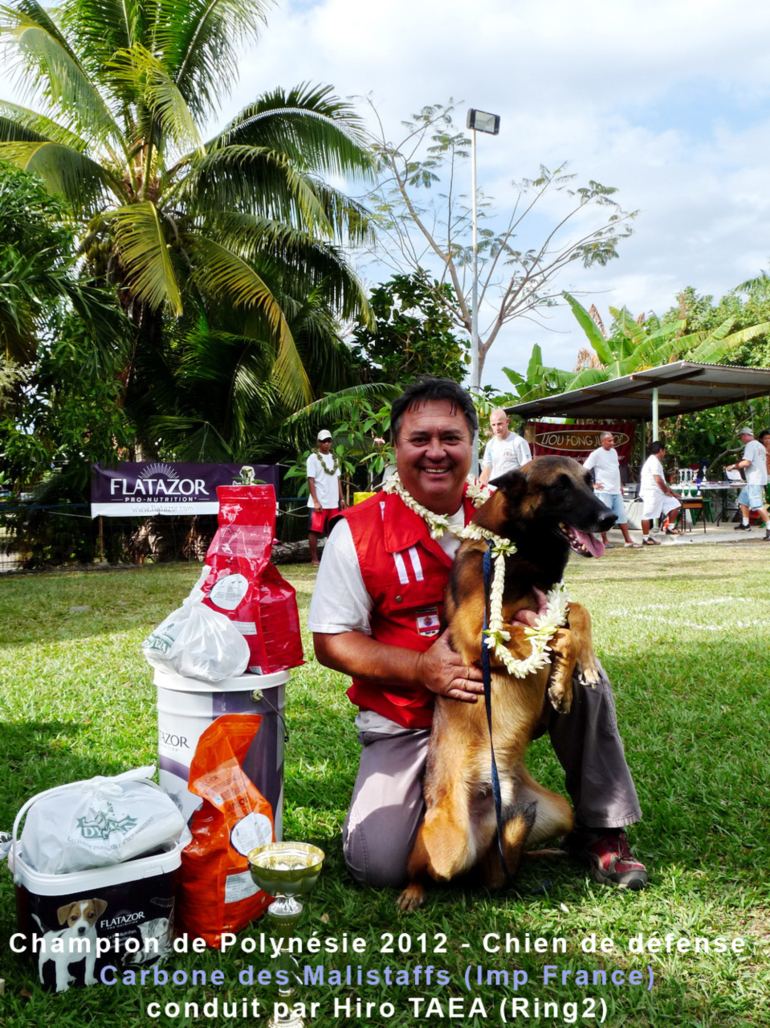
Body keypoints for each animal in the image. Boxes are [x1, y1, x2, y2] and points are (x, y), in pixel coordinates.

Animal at [398, 456, 616, 908]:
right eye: (559, 487)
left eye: (590, 482)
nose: (610, 517)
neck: (516, 549)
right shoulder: (478, 630)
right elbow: (552, 633)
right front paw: (562, 673)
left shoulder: (551, 602)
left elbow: (577, 612)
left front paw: (576, 671)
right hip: (449, 843)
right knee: (429, 870)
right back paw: (414, 890)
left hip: (559, 810)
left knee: (502, 860)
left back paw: (535, 855)